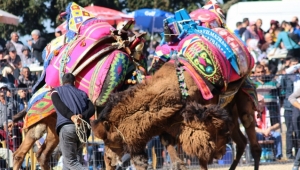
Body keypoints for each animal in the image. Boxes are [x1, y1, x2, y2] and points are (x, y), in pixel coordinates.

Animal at [91, 62, 260, 170]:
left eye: (110, 140)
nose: (108, 161)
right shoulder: (169, 128)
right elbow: (178, 160)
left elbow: (202, 155)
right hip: (231, 113)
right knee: (242, 142)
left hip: (244, 104)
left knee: (253, 142)